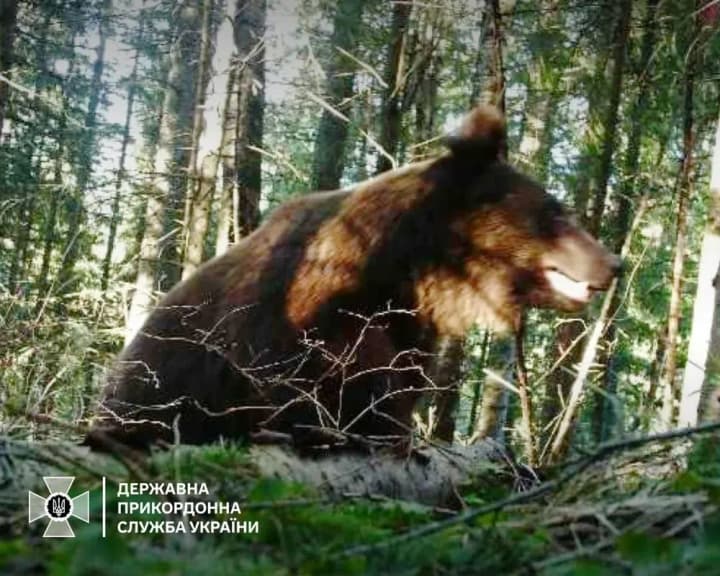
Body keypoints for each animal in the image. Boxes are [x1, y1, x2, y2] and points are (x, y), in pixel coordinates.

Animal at [89, 105, 620, 449]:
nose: (614, 262)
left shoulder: (406, 326)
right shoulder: (294, 319)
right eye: (555, 211)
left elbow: (396, 391)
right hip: (146, 384)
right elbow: (293, 386)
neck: (413, 269)